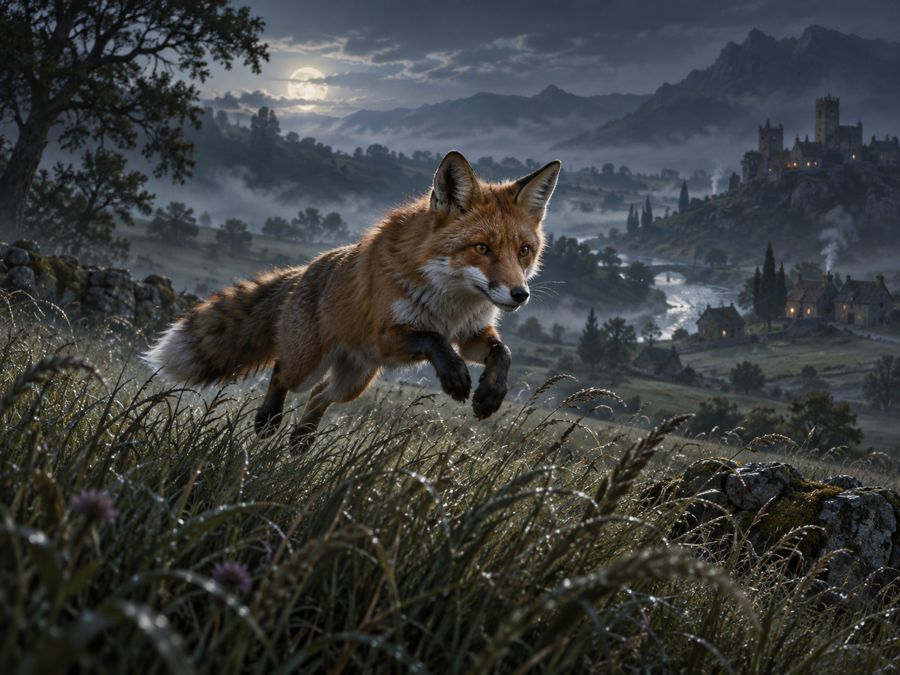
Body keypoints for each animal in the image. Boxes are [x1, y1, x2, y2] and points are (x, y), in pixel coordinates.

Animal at [143, 151, 561, 446]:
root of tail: (305, 269)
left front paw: (491, 394)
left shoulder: (472, 333)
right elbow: (434, 340)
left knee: (319, 396)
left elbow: (502, 353)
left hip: (355, 379)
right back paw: (269, 422)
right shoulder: (389, 335)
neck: (450, 302)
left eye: (524, 251)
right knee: (282, 374)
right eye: (482, 248)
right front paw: (456, 378)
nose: (519, 294)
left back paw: (301, 441)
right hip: (310, 364)